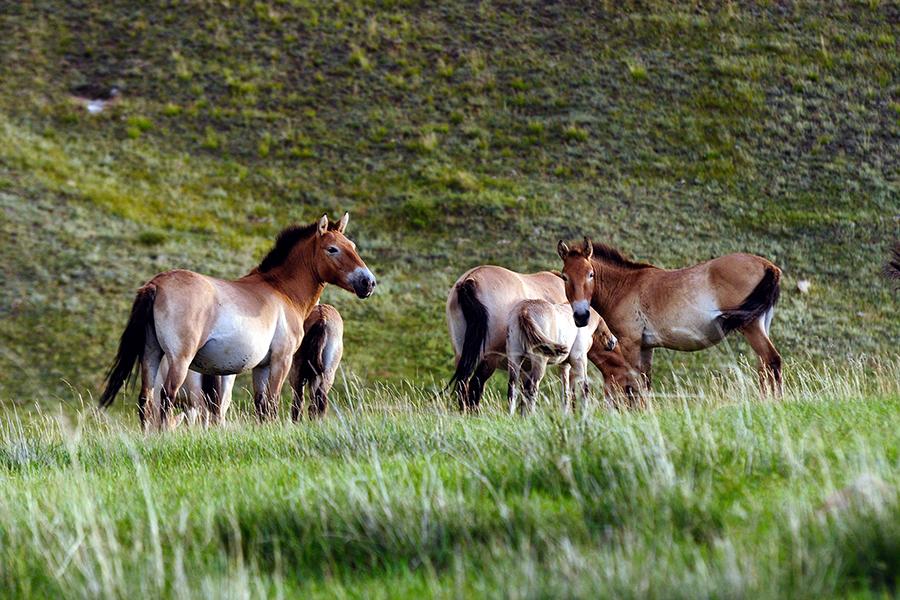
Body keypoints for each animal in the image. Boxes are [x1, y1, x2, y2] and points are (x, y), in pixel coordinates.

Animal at [100, 213, 376, 430]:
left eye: (352, 245)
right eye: (333, 249)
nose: (368, 282)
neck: (281, 290)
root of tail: (157, 284)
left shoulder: (261, 366)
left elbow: (261, 406)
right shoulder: (282, 360)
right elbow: (273, 403)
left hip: (151, 355)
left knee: (146, 400)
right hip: (179, 360)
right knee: (166, 399)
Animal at [447, 265, 642, 412]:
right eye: (630, 389)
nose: (638, 411)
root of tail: (470, 280)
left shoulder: (527, 365)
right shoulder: (568, 361)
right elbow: (570, 390)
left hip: (464, 356)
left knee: (463, 385)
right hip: (489, 359)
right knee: (475, 387)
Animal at [557, 238, 782, 396]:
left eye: (590, 274)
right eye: (565, 277)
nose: (581, 316)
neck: (625, 287)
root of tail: (769, 266)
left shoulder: (630, 343)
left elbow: (634, 384)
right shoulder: (646, 346)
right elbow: (645, 383)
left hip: (751, 326)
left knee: (772, 360)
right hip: (761, 324)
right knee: (765, 367)